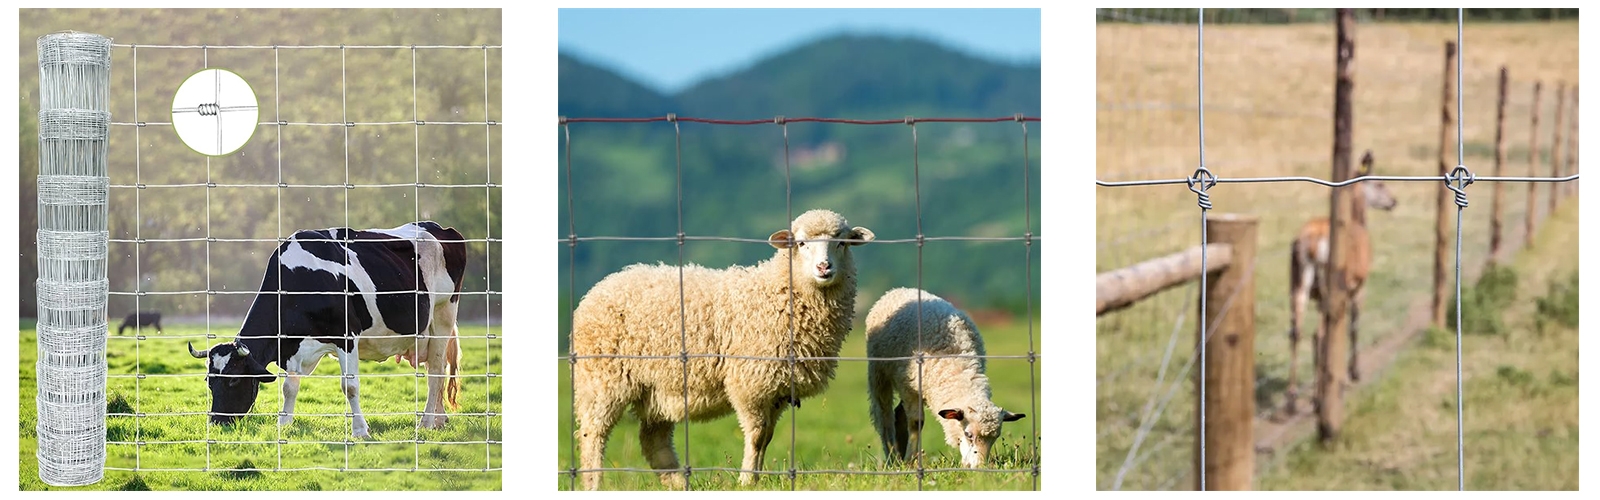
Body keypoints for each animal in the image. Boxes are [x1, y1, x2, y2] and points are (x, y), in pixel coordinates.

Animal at [186, 221, 467, 435]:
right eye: (209, 380)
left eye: (234, 379)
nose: (217, 422)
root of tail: (439, 227)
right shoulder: (292, 347)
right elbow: (289, 386)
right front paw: (284, 423)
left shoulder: (347, 336)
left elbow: (350, 386)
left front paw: (360, 430)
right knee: (435, 369)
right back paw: (440, 420)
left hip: (443, 314)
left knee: (436, 373)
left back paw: (426, 423)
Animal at [569, 208, 883, 490]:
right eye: (801, 243)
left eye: (842, 242)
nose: (823, 268)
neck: (780, 292)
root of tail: (599, 289)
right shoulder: (750, 383)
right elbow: (757, 435)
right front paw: (746, 481)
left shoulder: (778, 390)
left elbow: (767, 437)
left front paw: (756, 479)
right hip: (602, 379)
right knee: (592, 434)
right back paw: (594, 484)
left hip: (657, 388)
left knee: (653, 441)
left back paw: (678, 485)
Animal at [870, 288, 1030, 467]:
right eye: (968, 434)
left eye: (995, 438)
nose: (979, 467)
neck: (957, 370)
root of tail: (899, 290)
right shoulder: (908, 387)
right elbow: (916, 422)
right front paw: (911, 461)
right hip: (878, 372)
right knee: (884, 415)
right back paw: (892, 456)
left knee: (898, 413)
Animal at [1280, 152, 1395, 413]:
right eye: (1380, 183)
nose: (1393, 201)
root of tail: (1311, 244)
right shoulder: (1360, 285)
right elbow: (1354, 325)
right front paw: (1354, 372)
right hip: (1328, 288)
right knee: (1319, 334)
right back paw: (1318, 399)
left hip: (1297, 282)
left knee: (1296, 331)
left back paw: (1292, 398)